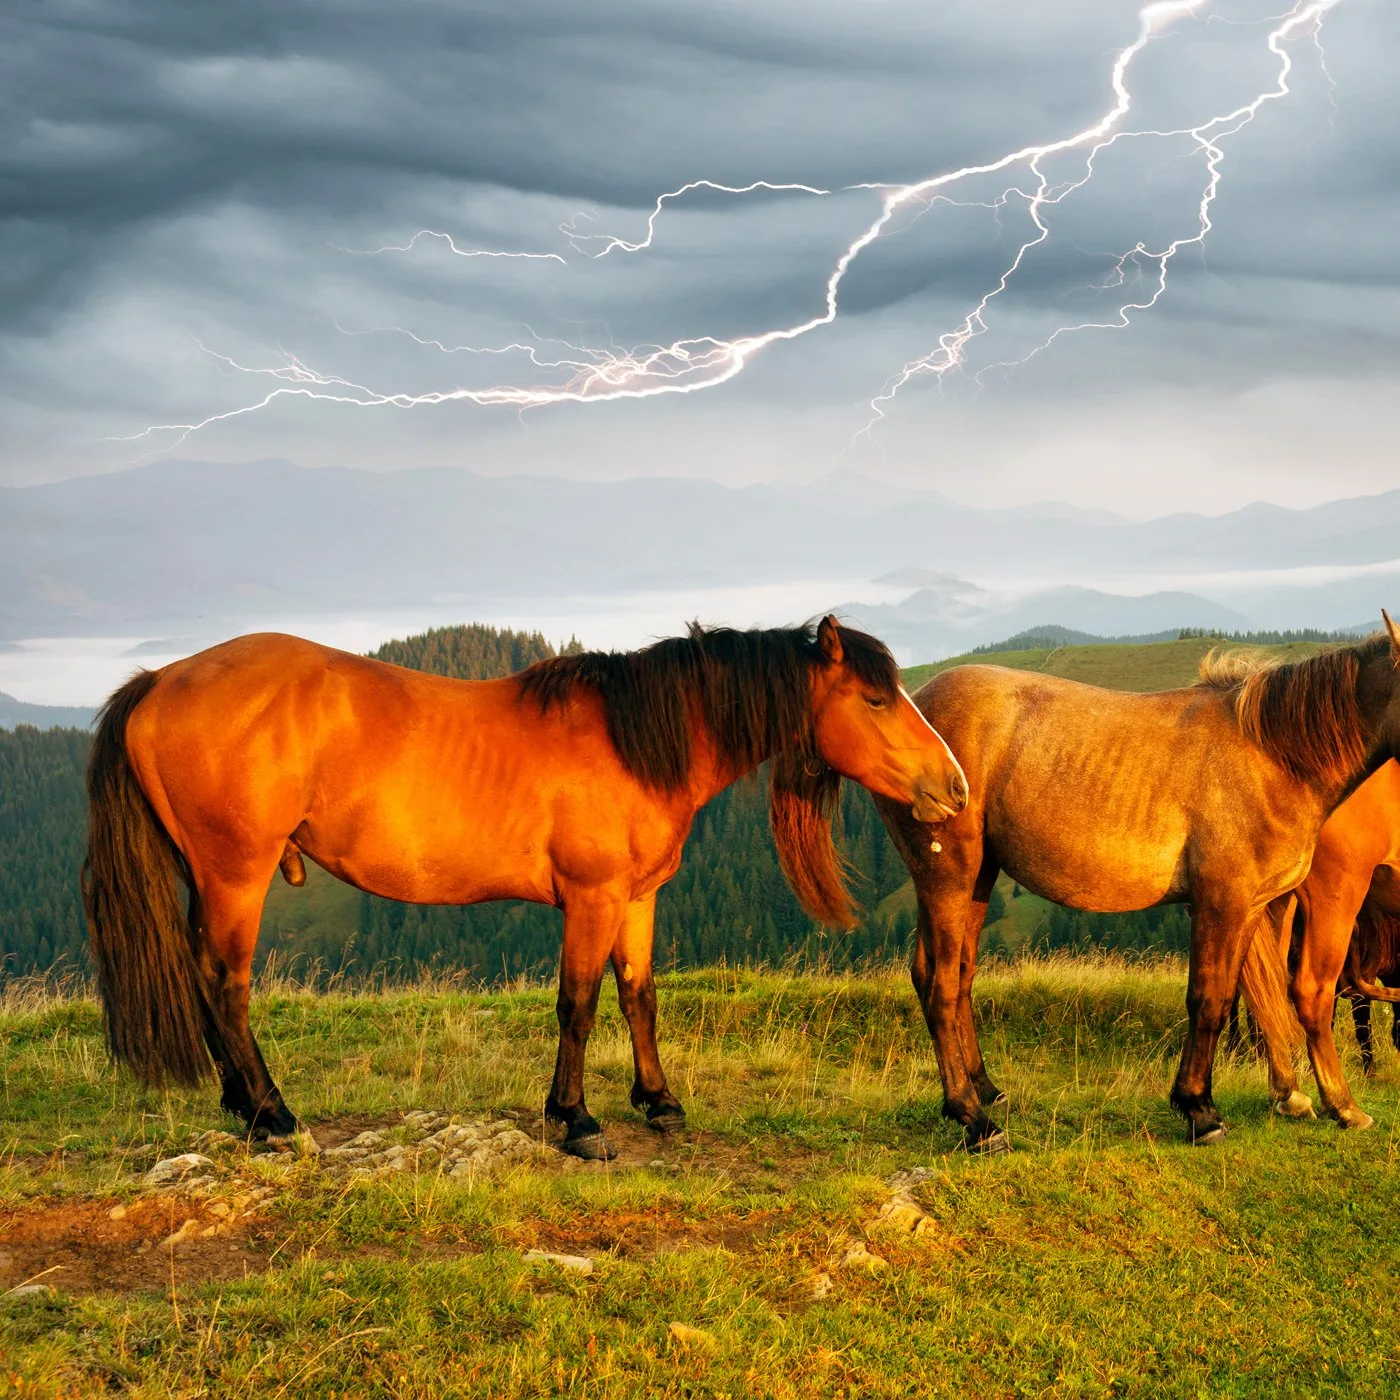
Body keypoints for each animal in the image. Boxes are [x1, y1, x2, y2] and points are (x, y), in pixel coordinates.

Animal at [84, 618, 963, 1153]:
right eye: (877, 698)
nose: (953, 787)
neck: (635, 740)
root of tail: (161, 680)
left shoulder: (637, 898)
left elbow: (638, 994)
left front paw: (659, 1100)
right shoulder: (592, 898)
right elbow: (579, 1003)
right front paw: (576, 1119)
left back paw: (242, 1105)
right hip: (236, 876)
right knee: (225, 987)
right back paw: (271, 1114)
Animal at [879, 624, 1400, 1148]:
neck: (1271, 757)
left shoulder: (1251, 907)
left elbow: (1239, 998)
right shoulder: (1222, 902)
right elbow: (1212, 1001)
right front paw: (1202, 1110)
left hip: (976, 879)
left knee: (953, 976)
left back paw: (985, 1089)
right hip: (948, 877)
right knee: (941, 985)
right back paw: (973, 1119)